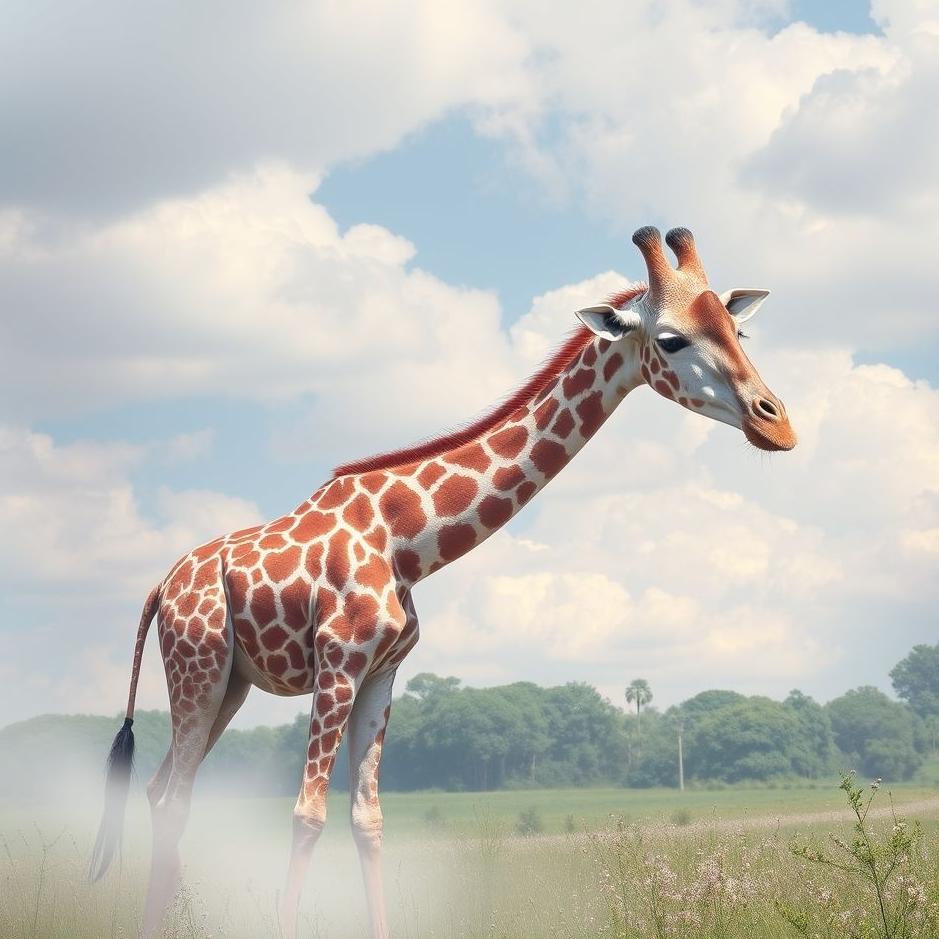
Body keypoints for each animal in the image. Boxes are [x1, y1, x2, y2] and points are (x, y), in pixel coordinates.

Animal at [91, 226, 796, 938]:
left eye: (738, 328)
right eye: (672, 340)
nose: (778, 424)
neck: (407, 540)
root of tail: (162, 587)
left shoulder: (381, 673)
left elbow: (367, 820)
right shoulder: (338, 664)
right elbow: (307, 814)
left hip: (230, 683)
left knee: (159, 790)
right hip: (198, 669)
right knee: (174, 797)